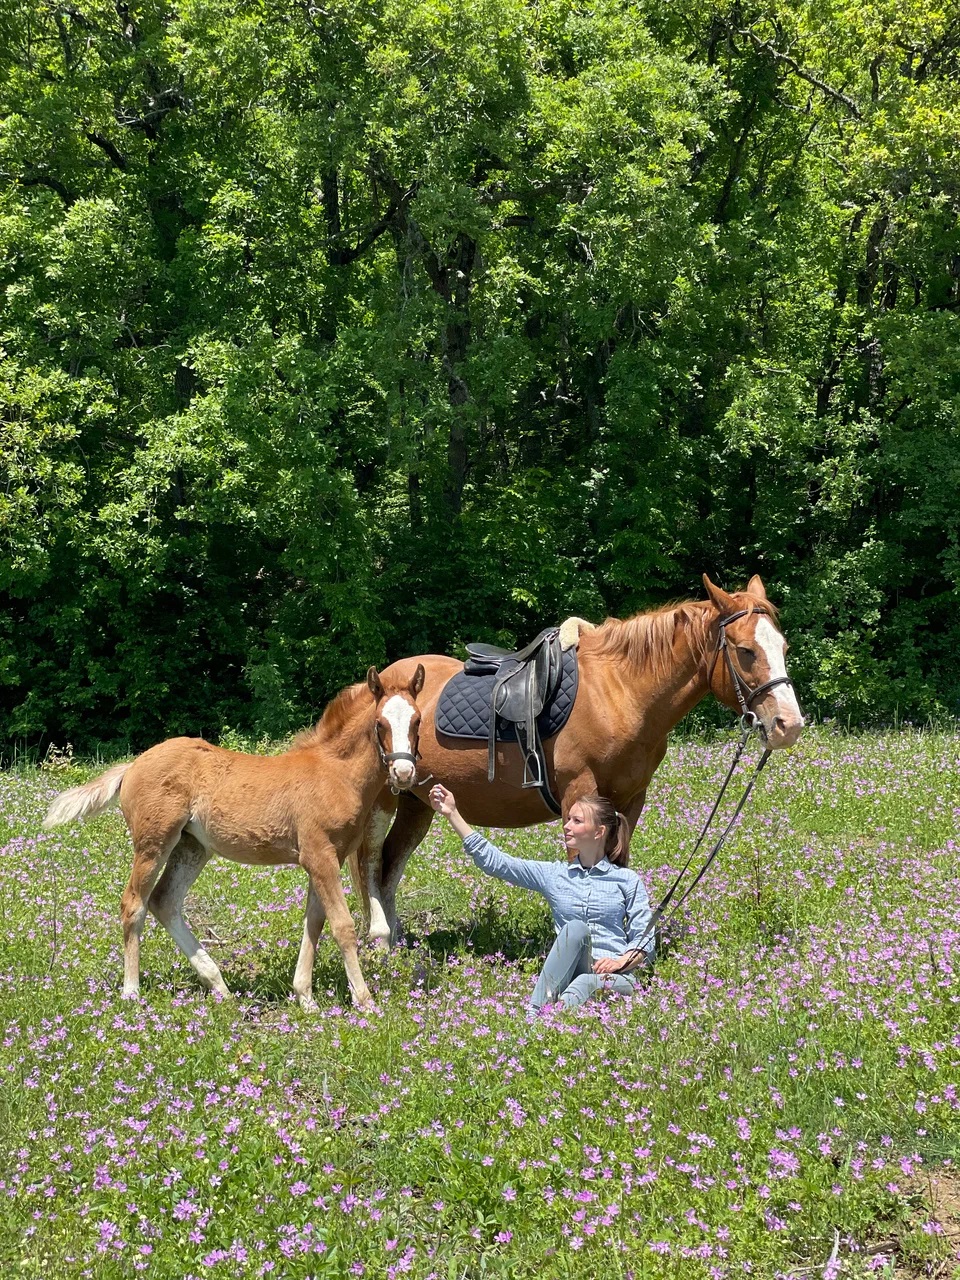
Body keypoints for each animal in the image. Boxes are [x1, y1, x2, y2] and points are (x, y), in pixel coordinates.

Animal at [43, 665, 426, 1010]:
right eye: (380, 723)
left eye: (417, 721)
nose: (403, 772)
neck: (336, 773)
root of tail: (133, 765)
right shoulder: (319, 856)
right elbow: (342, 926)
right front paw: (364, 1001)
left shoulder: (326, 857)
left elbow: (314, 923)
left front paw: (305, 997)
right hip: (153, 844)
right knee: (133, 904)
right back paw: (132, 992)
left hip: (192, 847)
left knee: (165, 901)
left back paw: (219, 986)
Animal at [350, 575, 804, 949]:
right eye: (745, 651)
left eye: (782, 647)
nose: (789, 724)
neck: (620, 692)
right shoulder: (578, 793)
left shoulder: (629, 800)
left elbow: (618, 864)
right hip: (386, 799)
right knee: (372, 861)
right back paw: (383, 942)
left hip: (417, 803)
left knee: (390, 865)